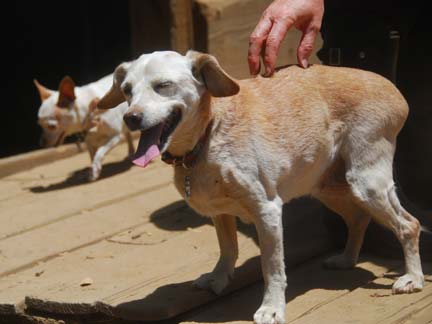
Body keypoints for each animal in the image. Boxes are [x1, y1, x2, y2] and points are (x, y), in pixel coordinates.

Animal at [97, 50, 422, 324]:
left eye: (163, 85)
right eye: (127, 90)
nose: (131, 117)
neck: (208, 135)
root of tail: (394, 91)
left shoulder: (267, 211)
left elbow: (272, 268)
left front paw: (272, 308)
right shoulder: (220, 212)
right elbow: (228, 248)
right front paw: (218, 279)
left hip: (366, 183)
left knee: (409, 225)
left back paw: (413, 279)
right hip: (330, 186)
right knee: (358, 218)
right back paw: (346, 259)